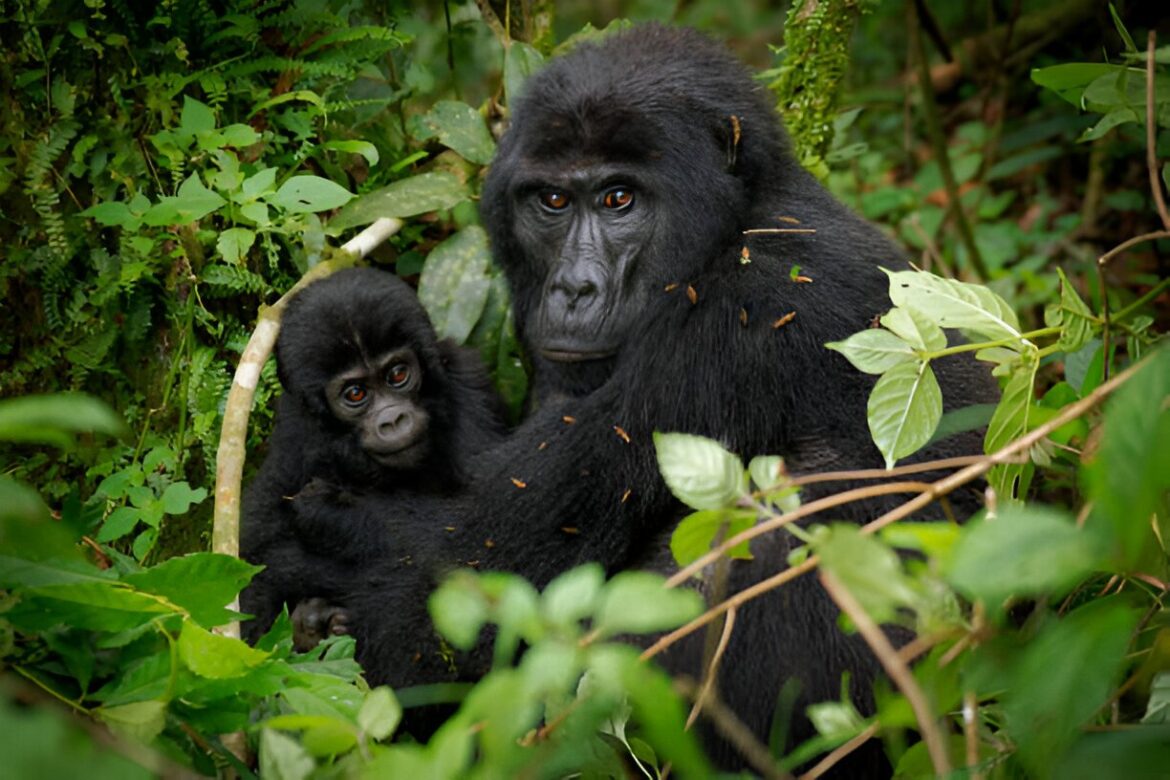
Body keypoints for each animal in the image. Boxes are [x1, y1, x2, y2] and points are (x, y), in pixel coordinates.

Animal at [239, 266, 505, 645]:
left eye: (398, 374)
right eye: (355, 393)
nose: (393, 420)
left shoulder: (466, 379)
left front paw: (333, 513)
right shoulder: (295, 430)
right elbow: (255, 556)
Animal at [329, 24, 996, 776]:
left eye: (620, 199)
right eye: (552, 203)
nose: (574, 291)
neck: (741, 217)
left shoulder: (735, 319)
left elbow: (447, 612)